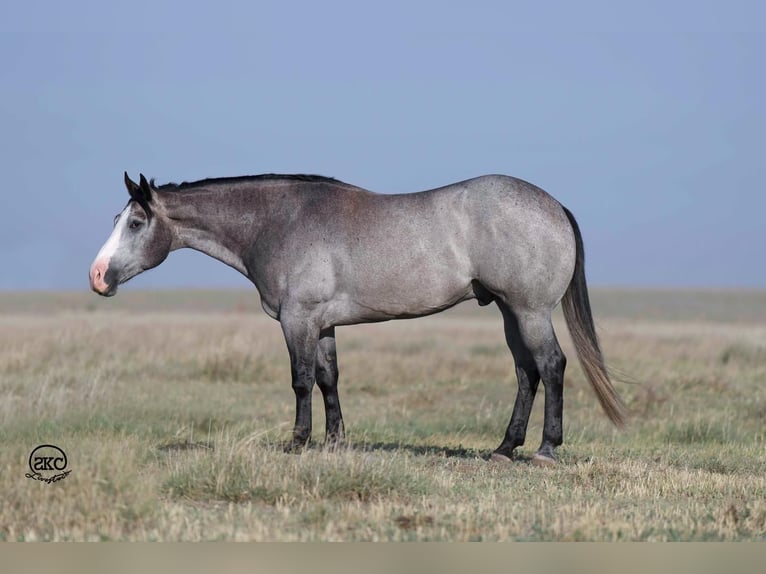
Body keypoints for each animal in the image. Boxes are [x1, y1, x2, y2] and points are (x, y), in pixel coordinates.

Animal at [91, 172, 632, 468]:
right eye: (117, 220)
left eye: (135, 223)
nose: (97, 277)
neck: (280, 221)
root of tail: (553, 205)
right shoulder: (324, 324)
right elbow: (329, 379)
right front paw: (335, 441)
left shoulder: (297, 320)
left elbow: (301, 380)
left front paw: (298, 443)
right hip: (507, 310)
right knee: (526, 372)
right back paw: (503, 447)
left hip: (529, 310)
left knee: (552, 366)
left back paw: (545, 449)